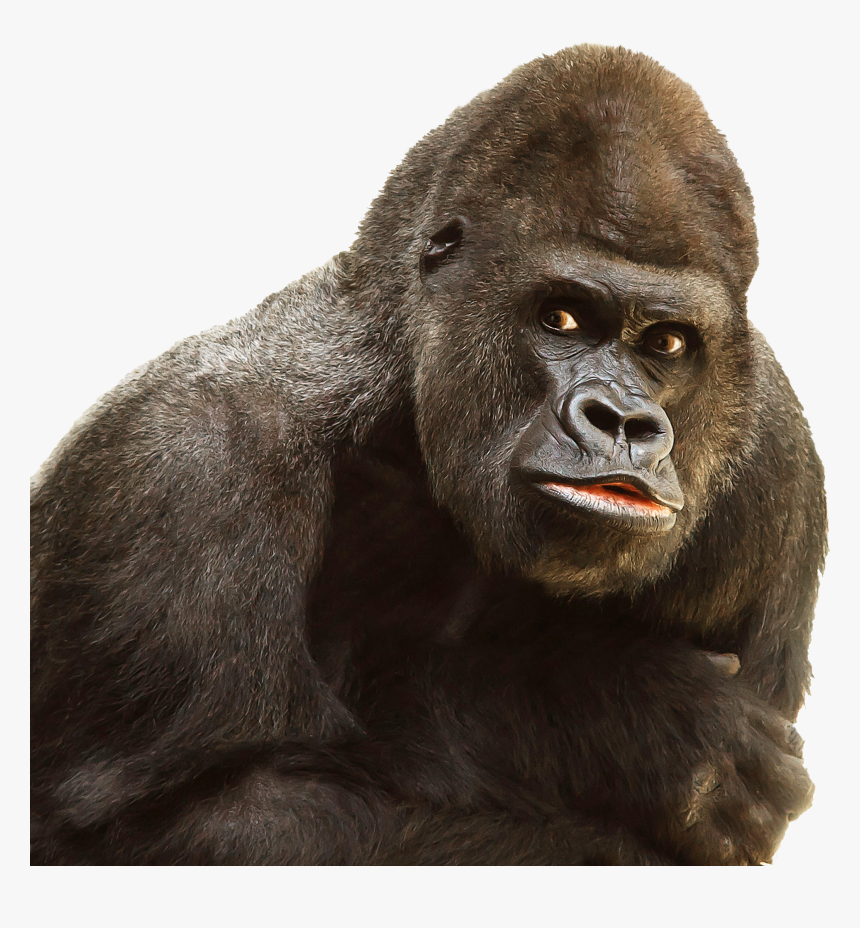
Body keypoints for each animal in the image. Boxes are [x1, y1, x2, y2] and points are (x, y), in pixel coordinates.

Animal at [30, 44, 826, 865]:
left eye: (667, 343)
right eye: (561, 318)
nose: (624, 422)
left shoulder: (775, 462)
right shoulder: (185, 463)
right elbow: (181, 821)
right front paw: (618, 717)